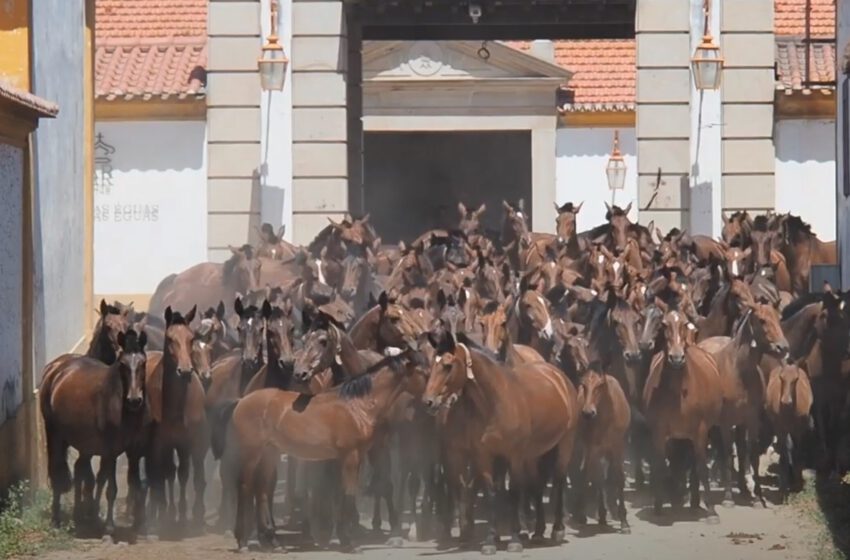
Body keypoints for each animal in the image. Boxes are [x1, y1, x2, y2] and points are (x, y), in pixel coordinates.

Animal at [41, 330, 147, 532]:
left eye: (143, 363)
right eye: (123, 364)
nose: (134, 400)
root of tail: (55, 368)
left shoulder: (134, 450)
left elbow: (135, 484)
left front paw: (138, 523)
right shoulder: (112, 450)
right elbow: (111, 488)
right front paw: (109, 526)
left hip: (84, 442)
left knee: (80, 470)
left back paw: (81, 515)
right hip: (55, 434)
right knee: (58, 470)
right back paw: (57, 519)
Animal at [424, 334, 576, 552]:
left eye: (447, 365)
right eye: (431, 364)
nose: (428, 401)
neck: (496, 402)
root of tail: (558, 375)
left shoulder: (514, 456)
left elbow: (513, 492)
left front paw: (514, 539)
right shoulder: (484, 455)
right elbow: (491, 493)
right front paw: (490, 540)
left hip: (565, 443)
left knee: (559, 479)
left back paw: (557, 529)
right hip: (532, 454)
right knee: (537, 485)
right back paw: (538, 531)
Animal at [644, 304, 724, 520]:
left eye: (685, 324)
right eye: (664, 324)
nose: (677, 358)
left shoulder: (701, 430)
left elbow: (701, 467)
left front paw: (711, 511)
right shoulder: (659, 431)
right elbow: (659, 465)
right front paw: (658, 506)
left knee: (695, 464)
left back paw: (695, 500)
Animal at [760, 364, 816, 504]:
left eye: (796, 379)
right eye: (781, 378)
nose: (786, 401)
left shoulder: (799, 430)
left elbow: (797, 453)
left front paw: (797, 484)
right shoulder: (781, 429)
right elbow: (785, 454)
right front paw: (783, 490)